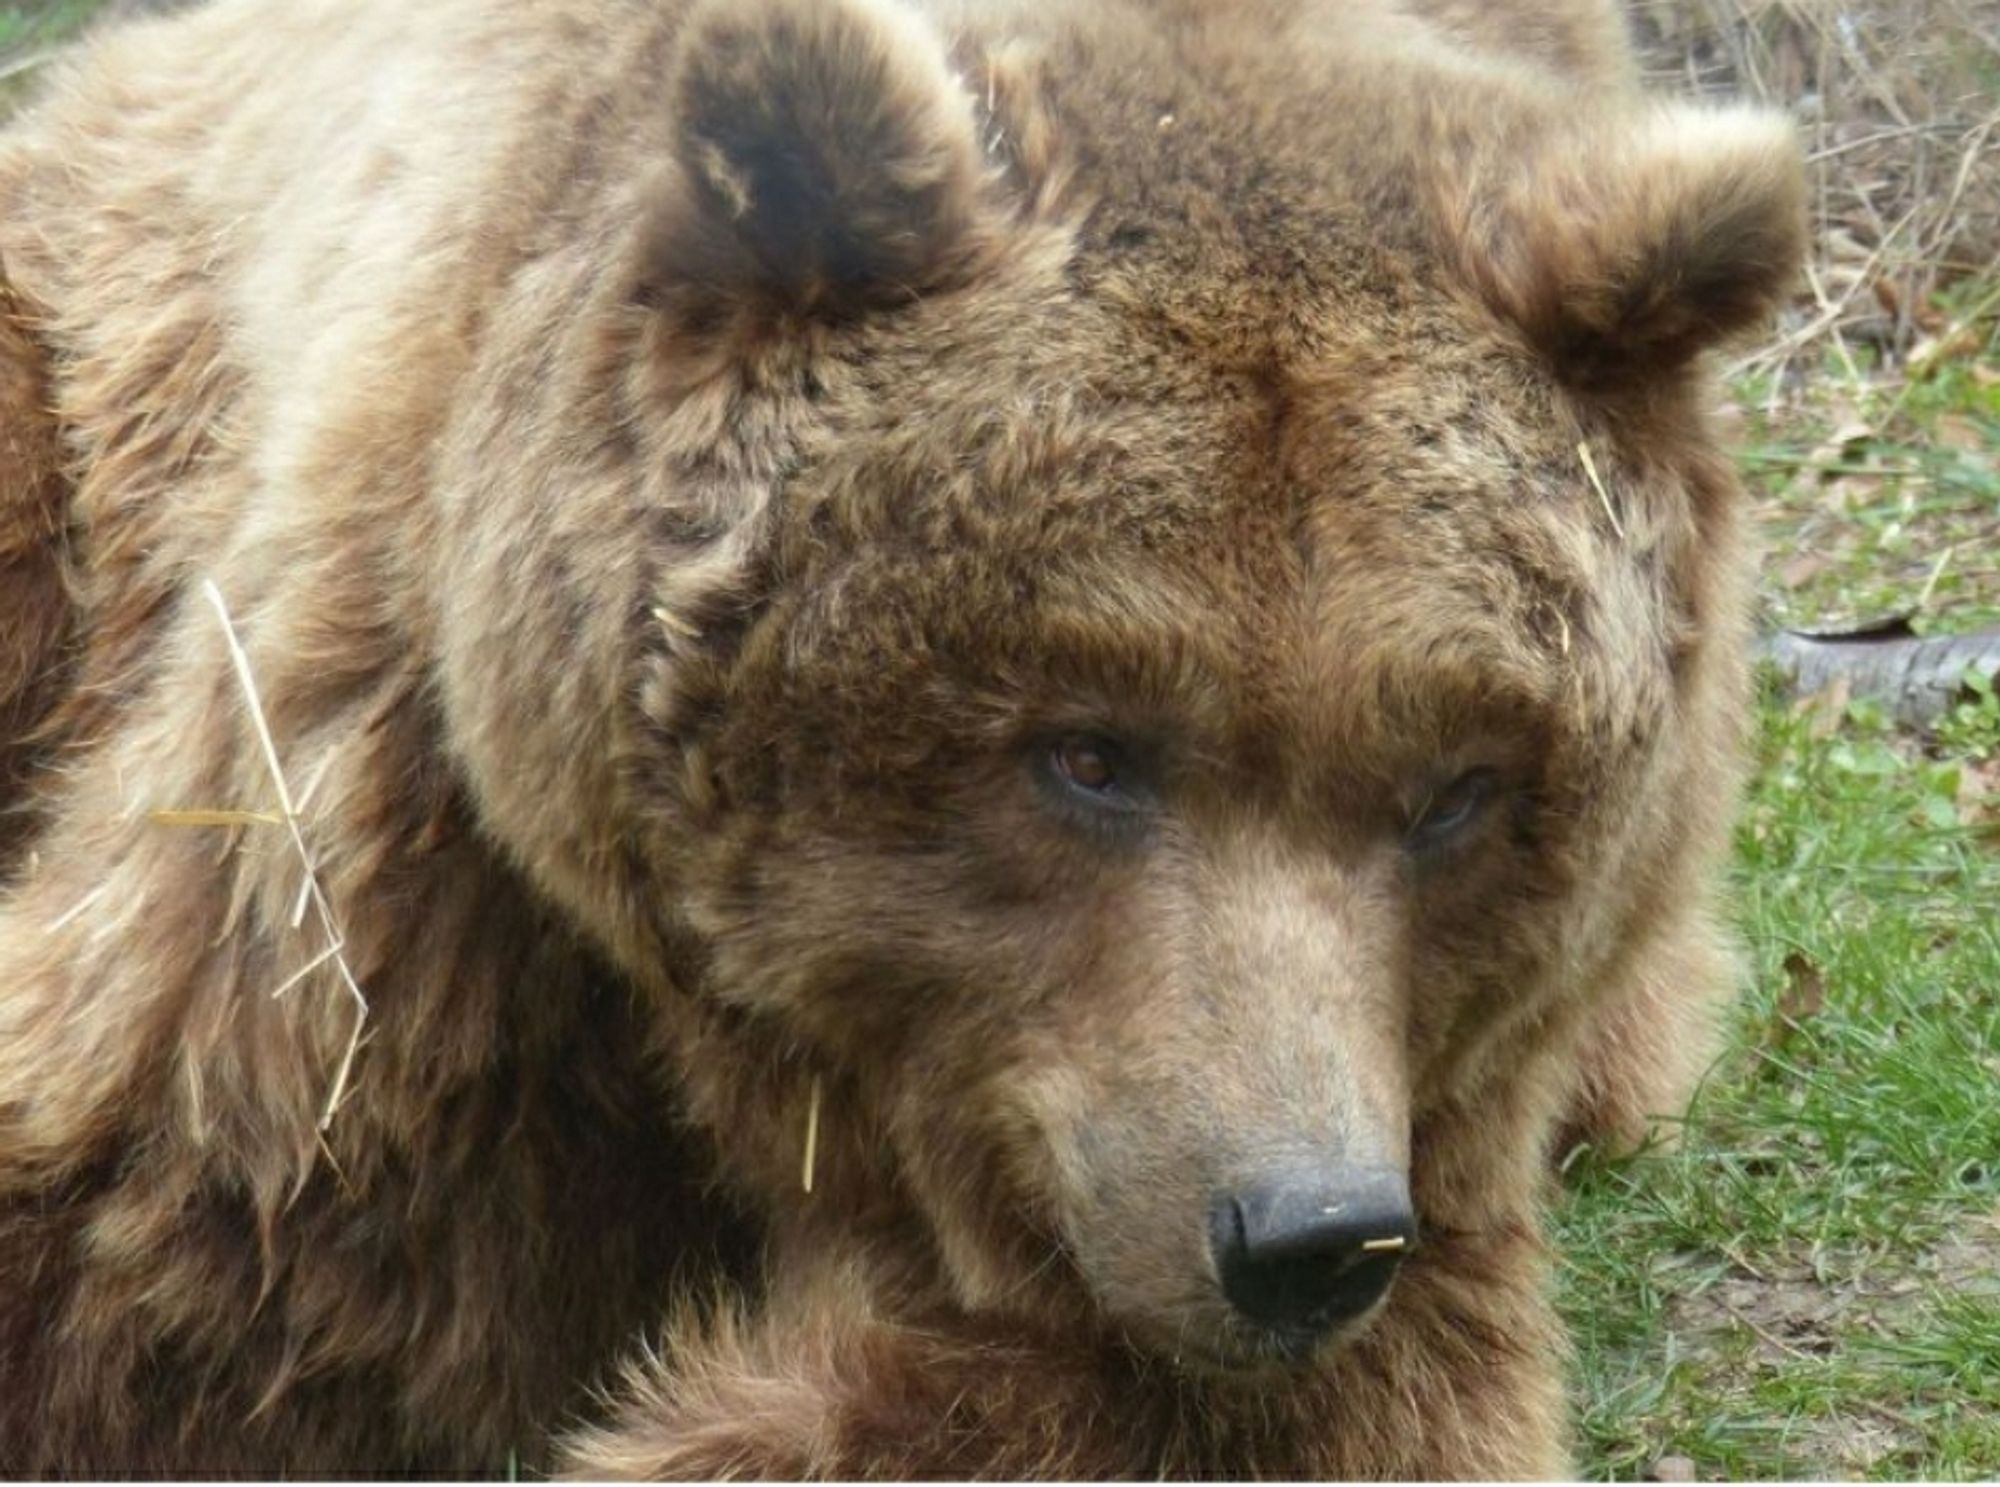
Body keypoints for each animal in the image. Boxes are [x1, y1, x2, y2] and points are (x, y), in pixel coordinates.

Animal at [0, 0, 1808, 1471]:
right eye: (1088, 747)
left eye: (1457, 788)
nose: (1303, 1232)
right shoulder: (403, 881)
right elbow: (151, 1233)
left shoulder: (1399, 1113)